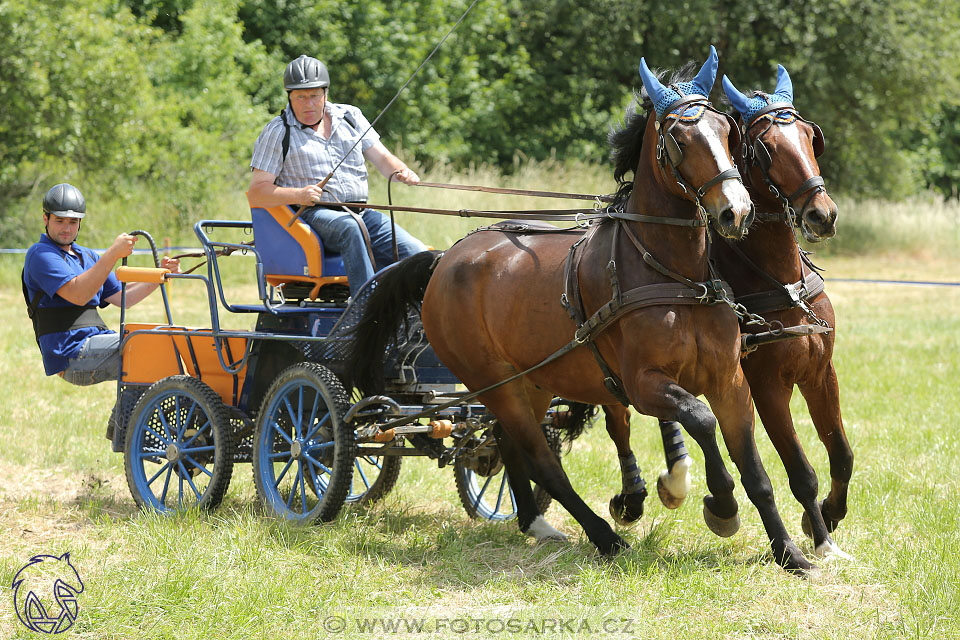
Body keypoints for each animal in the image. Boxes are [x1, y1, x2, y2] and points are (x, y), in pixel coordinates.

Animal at [344, 47, 808, 572]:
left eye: (727, 131)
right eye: (679, 137)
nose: (737, 211)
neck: (675, 275)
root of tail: (445, 259)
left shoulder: (729, 381)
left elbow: (755, 469)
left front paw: (790, 552)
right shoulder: (643, 386)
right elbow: (700, 421)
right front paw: (721, 506)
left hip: (530, 382)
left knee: (508, 442)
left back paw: (535, 523)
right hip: (492, 381)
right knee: (542, 460)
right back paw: (603, 536)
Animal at [604, 61, 852, 560]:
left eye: (809, 137)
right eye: (766, 149)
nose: (823, 214)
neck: (782, 283)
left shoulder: (820, 371)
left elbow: (841, 454)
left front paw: (830, 518)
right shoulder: (766, 384)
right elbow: (801, 470)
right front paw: (819, 537)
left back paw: (675, 479)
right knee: (619, 418)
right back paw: (638, 495)